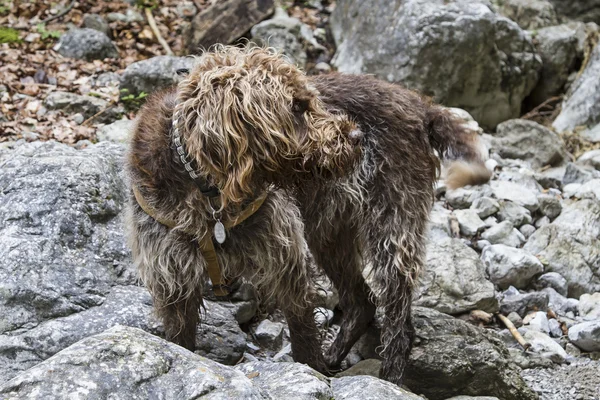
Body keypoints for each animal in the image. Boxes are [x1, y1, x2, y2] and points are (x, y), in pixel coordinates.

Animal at [124, 44, 490, 384]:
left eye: (312, 101)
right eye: (297, 107)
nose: (358, 136)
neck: (208, 191)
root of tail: (421, 107)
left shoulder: (286, 262)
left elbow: (302, 333)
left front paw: (311, 370)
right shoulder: (174, 281)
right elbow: (180, 340)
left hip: (392, 228)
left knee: (398, 320)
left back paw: (390, 377)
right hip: (329, 236)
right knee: (362, 303)